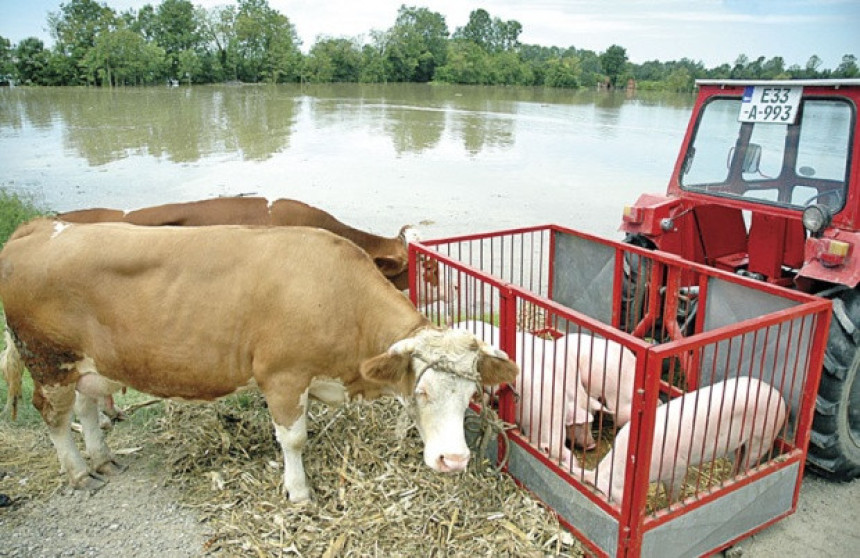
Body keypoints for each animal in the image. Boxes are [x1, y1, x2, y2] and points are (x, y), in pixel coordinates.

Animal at [0, 220, 516, 504]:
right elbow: (294, 438)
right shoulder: (283, 377)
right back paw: (79, 472)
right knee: (55, 417)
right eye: (421, 392)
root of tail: (40, 227)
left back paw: (104, 459)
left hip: (84, 364)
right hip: (47, 360)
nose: (454, 460)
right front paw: (299, 491)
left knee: (85, 408)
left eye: (470, 395)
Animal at [576, 376, 788, 508]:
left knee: (749, 461)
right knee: (738, 457)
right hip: (739, 443)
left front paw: (667, 506)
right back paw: (729, 478)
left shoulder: (678, 468)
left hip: (763, 437)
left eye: (606, 497)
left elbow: (672, 493)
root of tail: (777, 394)